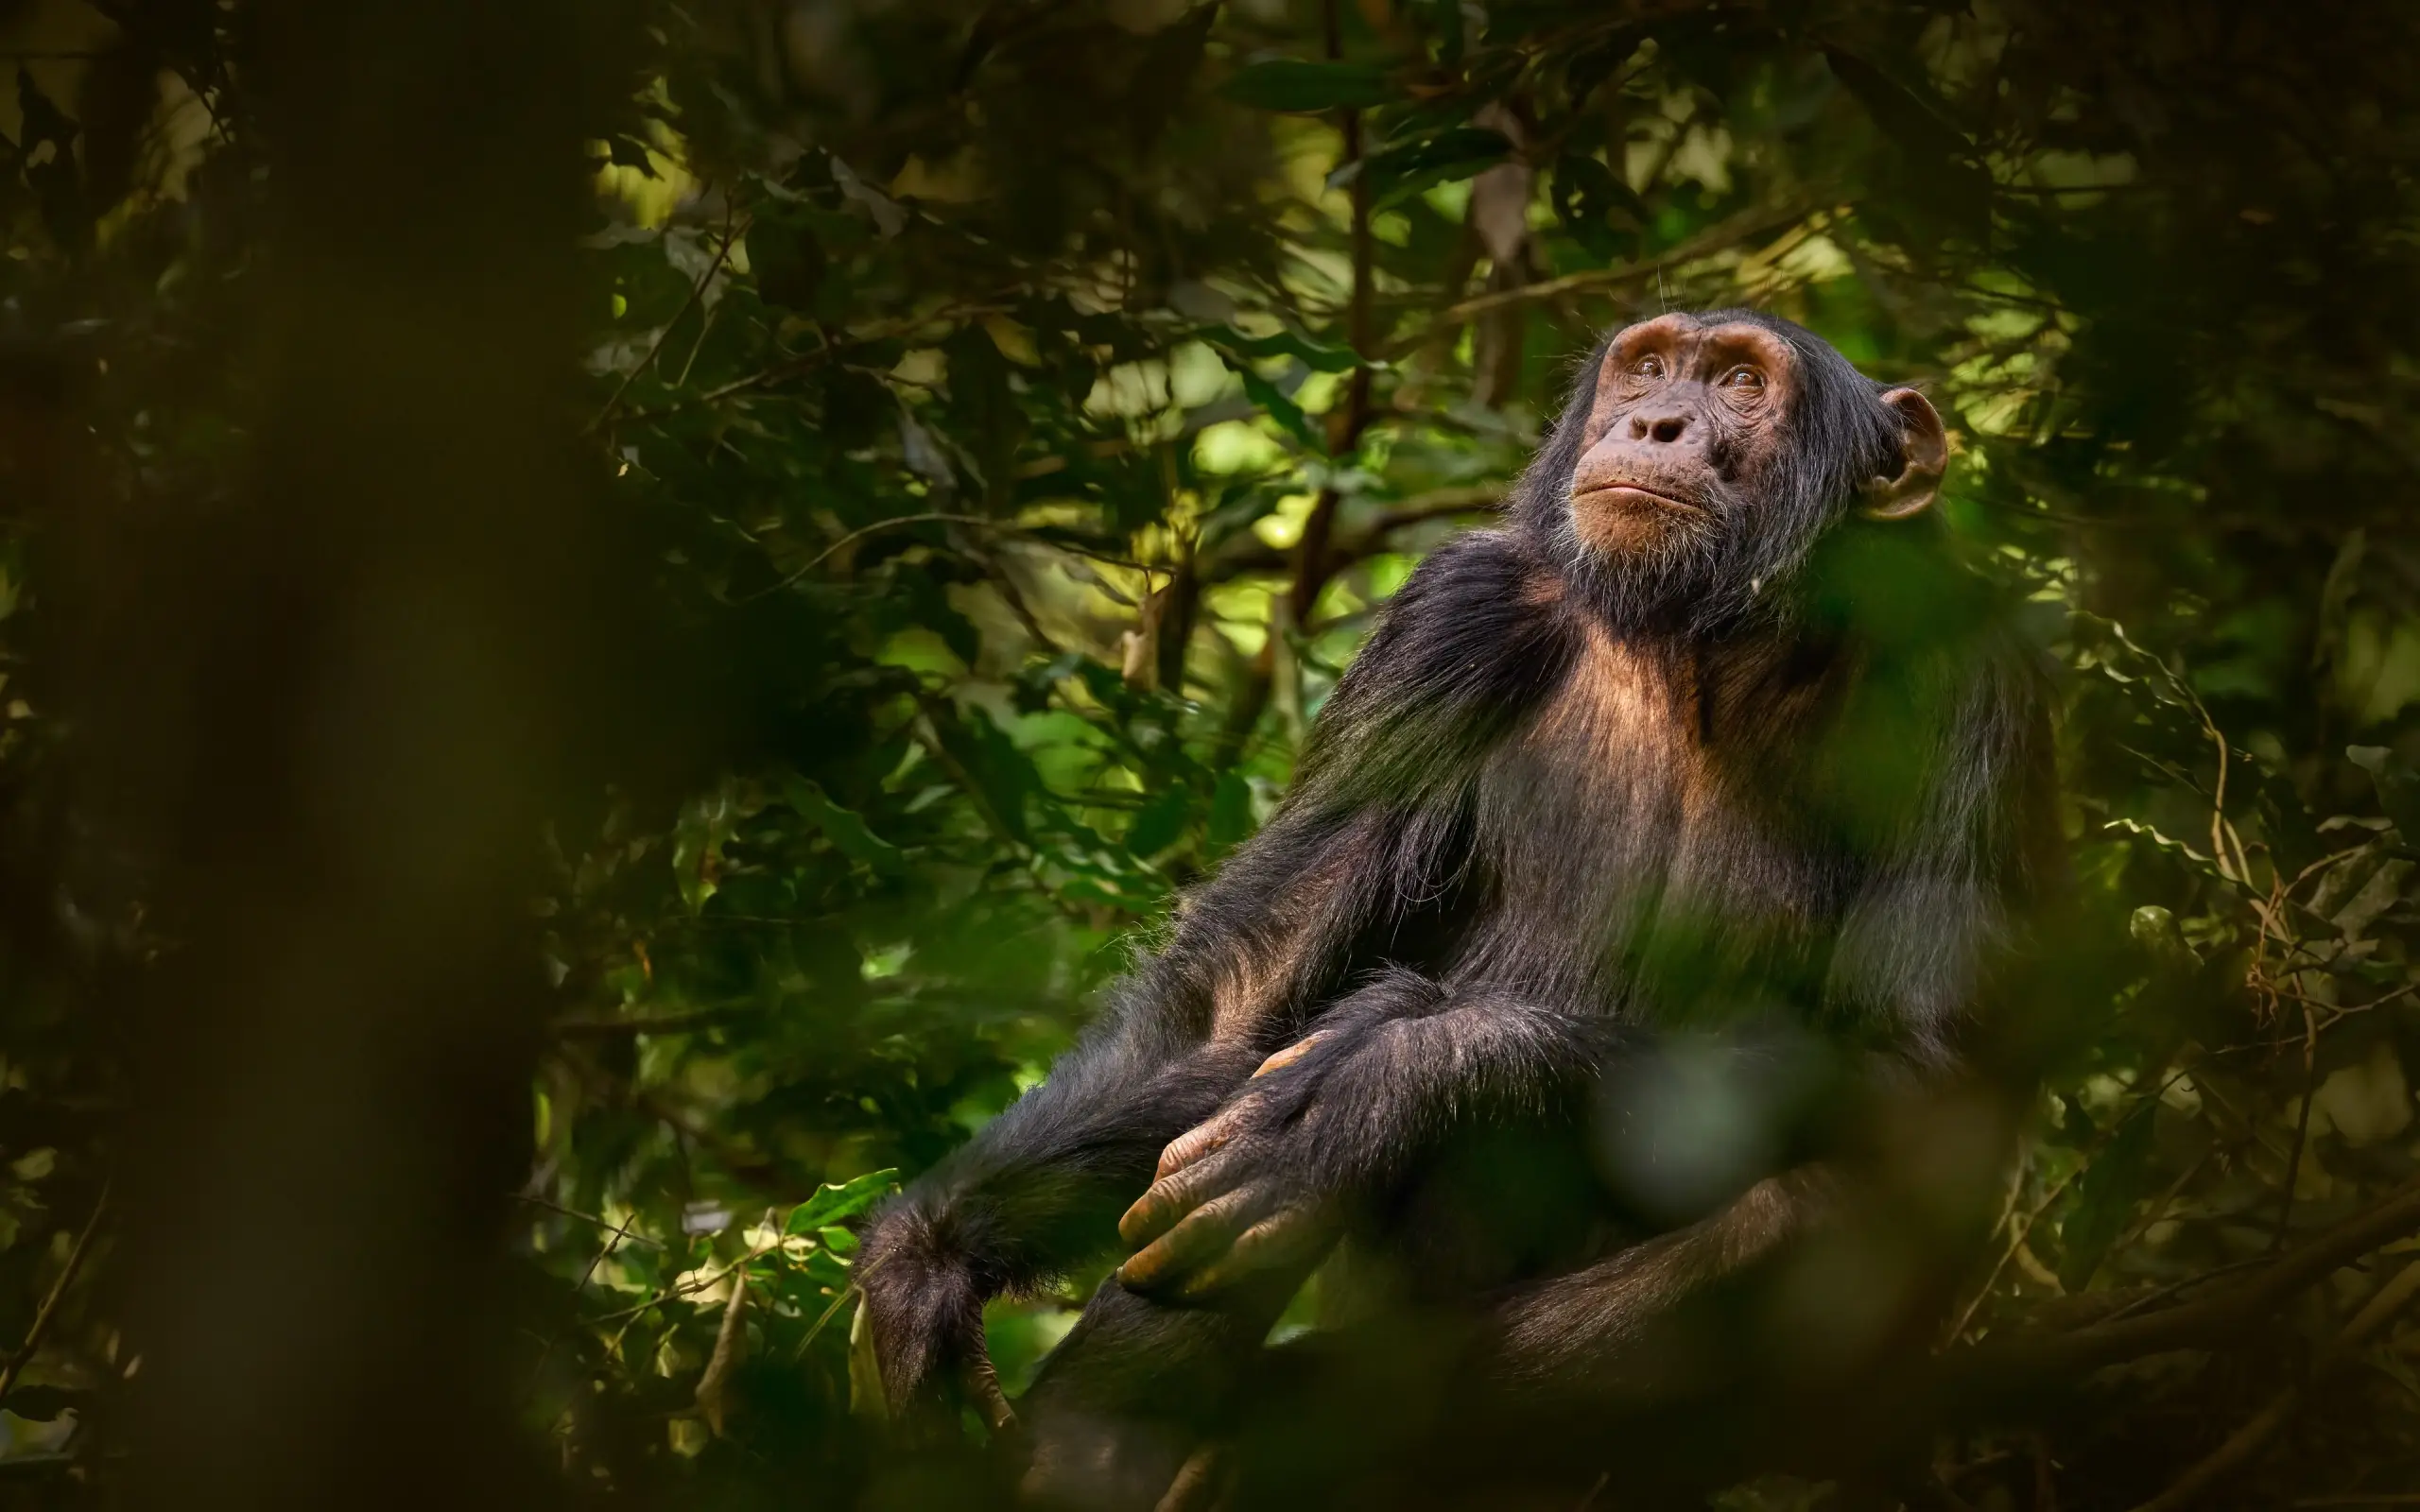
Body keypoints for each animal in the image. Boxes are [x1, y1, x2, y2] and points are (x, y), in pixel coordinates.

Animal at [858, 309, 2058, 1508]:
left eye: (1739, 383)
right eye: (1649, 365)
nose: (1655, 422)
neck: (1702, 648)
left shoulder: (1969, 685)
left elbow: (1917, 1068)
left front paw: (1391, 1075)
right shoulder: (1451, 621)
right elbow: (1246, 999)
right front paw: (925, 1260)